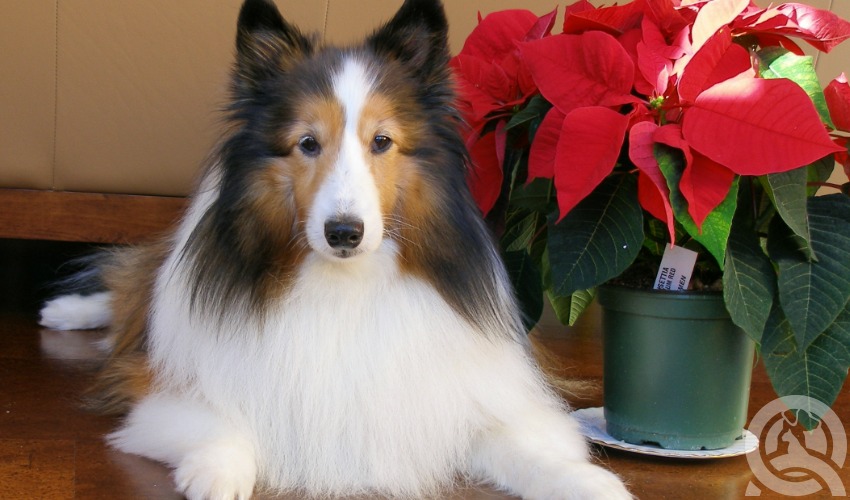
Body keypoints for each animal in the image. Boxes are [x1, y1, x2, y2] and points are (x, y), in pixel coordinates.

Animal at [41, 1, 628, 498]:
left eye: (382, 141)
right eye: (307, 143)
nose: (344, 232)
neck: (346, 287)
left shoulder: (471, 400)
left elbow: (523, 446)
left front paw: (586, 482)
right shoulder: (165, 392)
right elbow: (224, 424)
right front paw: (216, 474)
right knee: (133, 285)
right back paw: (66, 311)